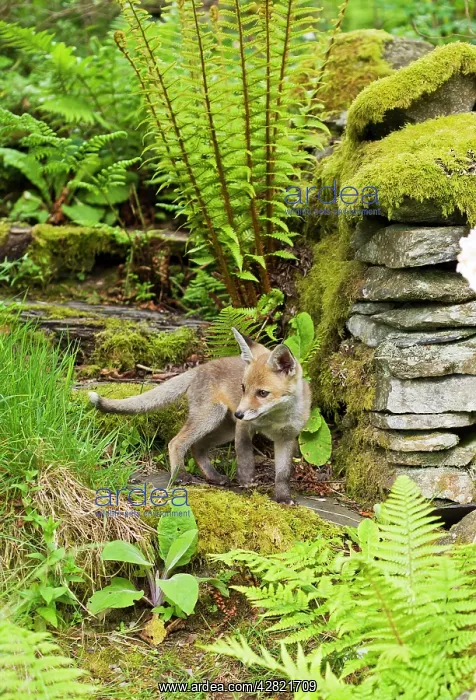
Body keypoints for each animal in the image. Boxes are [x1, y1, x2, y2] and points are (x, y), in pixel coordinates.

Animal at [88, 328, 311, 504]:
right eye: (243, 388)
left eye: (262, 393)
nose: (239, 413)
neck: (275, 418)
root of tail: (200, 367)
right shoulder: (244, 426)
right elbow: (244, 452)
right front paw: (246, 479)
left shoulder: (286, 438)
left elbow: (283, 474)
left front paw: (283, 497)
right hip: (212, 417)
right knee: (177, 442)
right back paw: (181, 475)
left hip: (224, 428)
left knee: (197, 447)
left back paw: (213, 476)